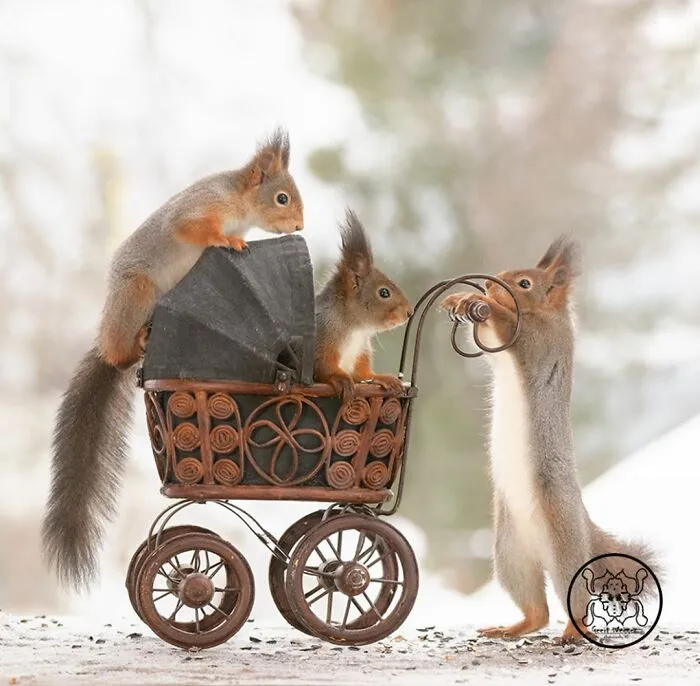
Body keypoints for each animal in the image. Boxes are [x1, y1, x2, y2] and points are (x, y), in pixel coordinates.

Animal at [42, 129, 304, 590]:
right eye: (282, 198)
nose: (300, 226)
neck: (238, 199)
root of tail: (109, 339)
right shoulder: (202, 206)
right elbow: (189, 227)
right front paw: (228, 240)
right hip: (137, 291)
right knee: (121, 350)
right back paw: (134, 346)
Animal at [314, 209, 413, 400]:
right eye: (384, 293)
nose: (409, 312)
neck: (357, 328)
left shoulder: (360, 351)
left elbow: (363, 375)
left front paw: (382, 377)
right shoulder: (322, 339)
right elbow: (323, 367)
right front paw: (341, 379)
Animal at [440, 235, 658, 644]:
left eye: (524, 284)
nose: (490, 284)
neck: (547, 315)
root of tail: (585, 529)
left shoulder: (536, 341)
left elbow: (509, 325)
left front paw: (478, 301)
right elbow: (483, 341)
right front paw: (458, 299)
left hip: (564, 547)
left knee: (577, 598)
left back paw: (574, 631)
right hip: (510, 555)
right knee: (537, 611)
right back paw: (511, 627)